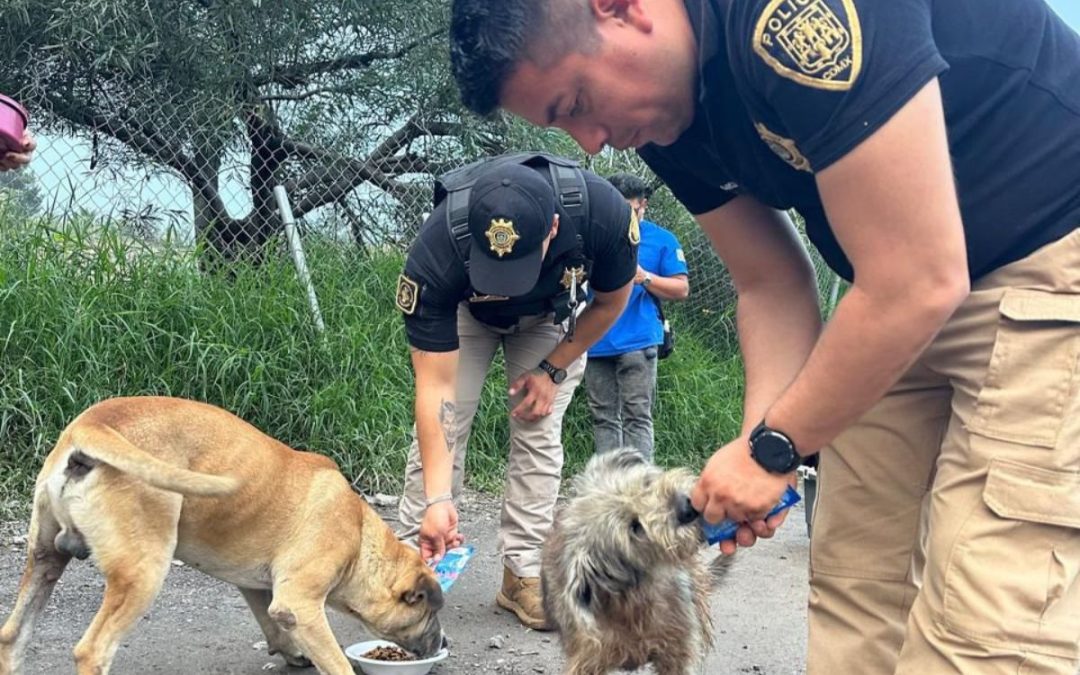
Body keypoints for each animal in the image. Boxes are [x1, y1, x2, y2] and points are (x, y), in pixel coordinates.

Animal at [0, 395, 442, 673]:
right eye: (427, 611)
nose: (442, 644)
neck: (360, 537)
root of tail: (92, 426)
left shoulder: (258, 587)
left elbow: (271, 622)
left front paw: (292, 653)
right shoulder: (300, 604)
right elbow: (332, 658)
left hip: (44, 559)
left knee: (11, 636)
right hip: (143, 574)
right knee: (92, 651)